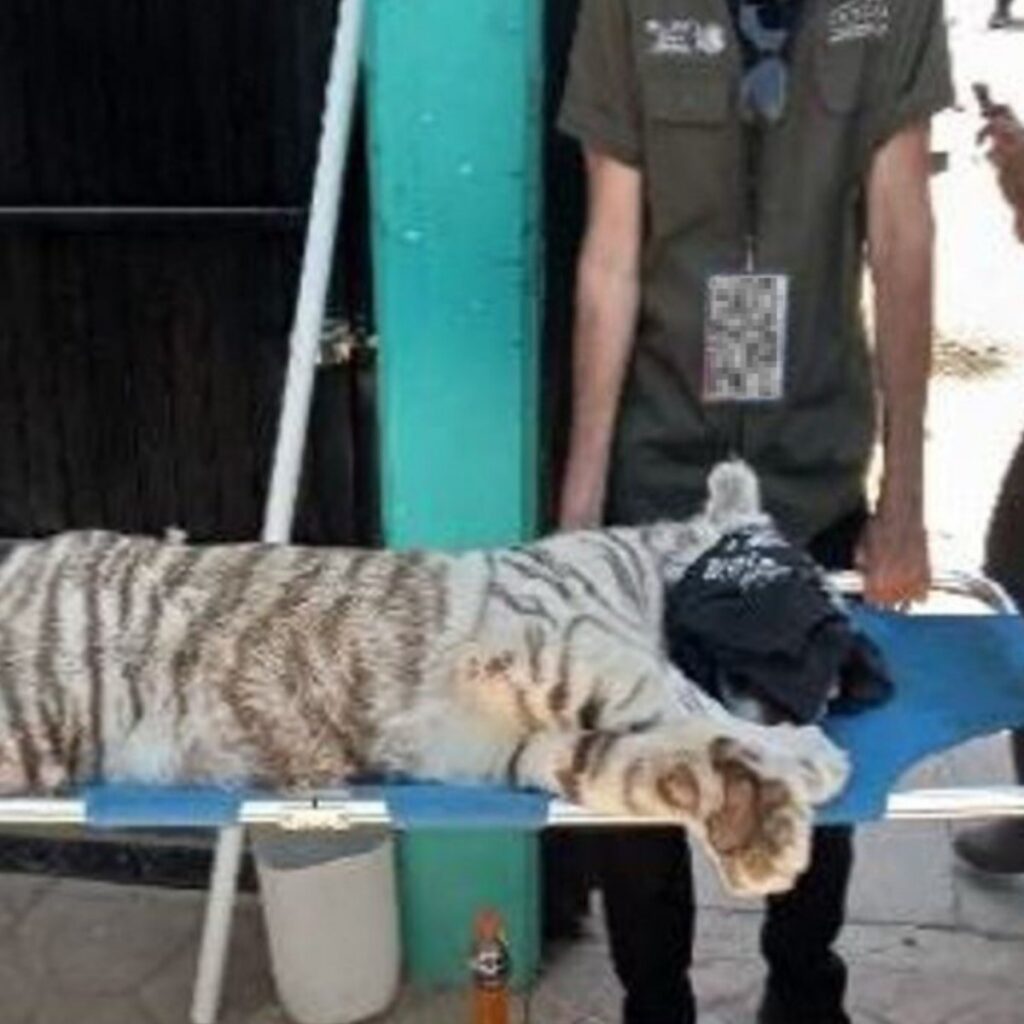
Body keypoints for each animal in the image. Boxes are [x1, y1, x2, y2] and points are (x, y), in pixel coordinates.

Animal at [0, 461, 849, 896]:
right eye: (801, 583)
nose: (843, 669)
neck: (650, 572)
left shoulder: (527, 747)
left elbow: (651, 764)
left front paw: (762, 829)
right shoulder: (551, 640)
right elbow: (680, 697)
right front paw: (806, 753)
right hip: (32, 718)